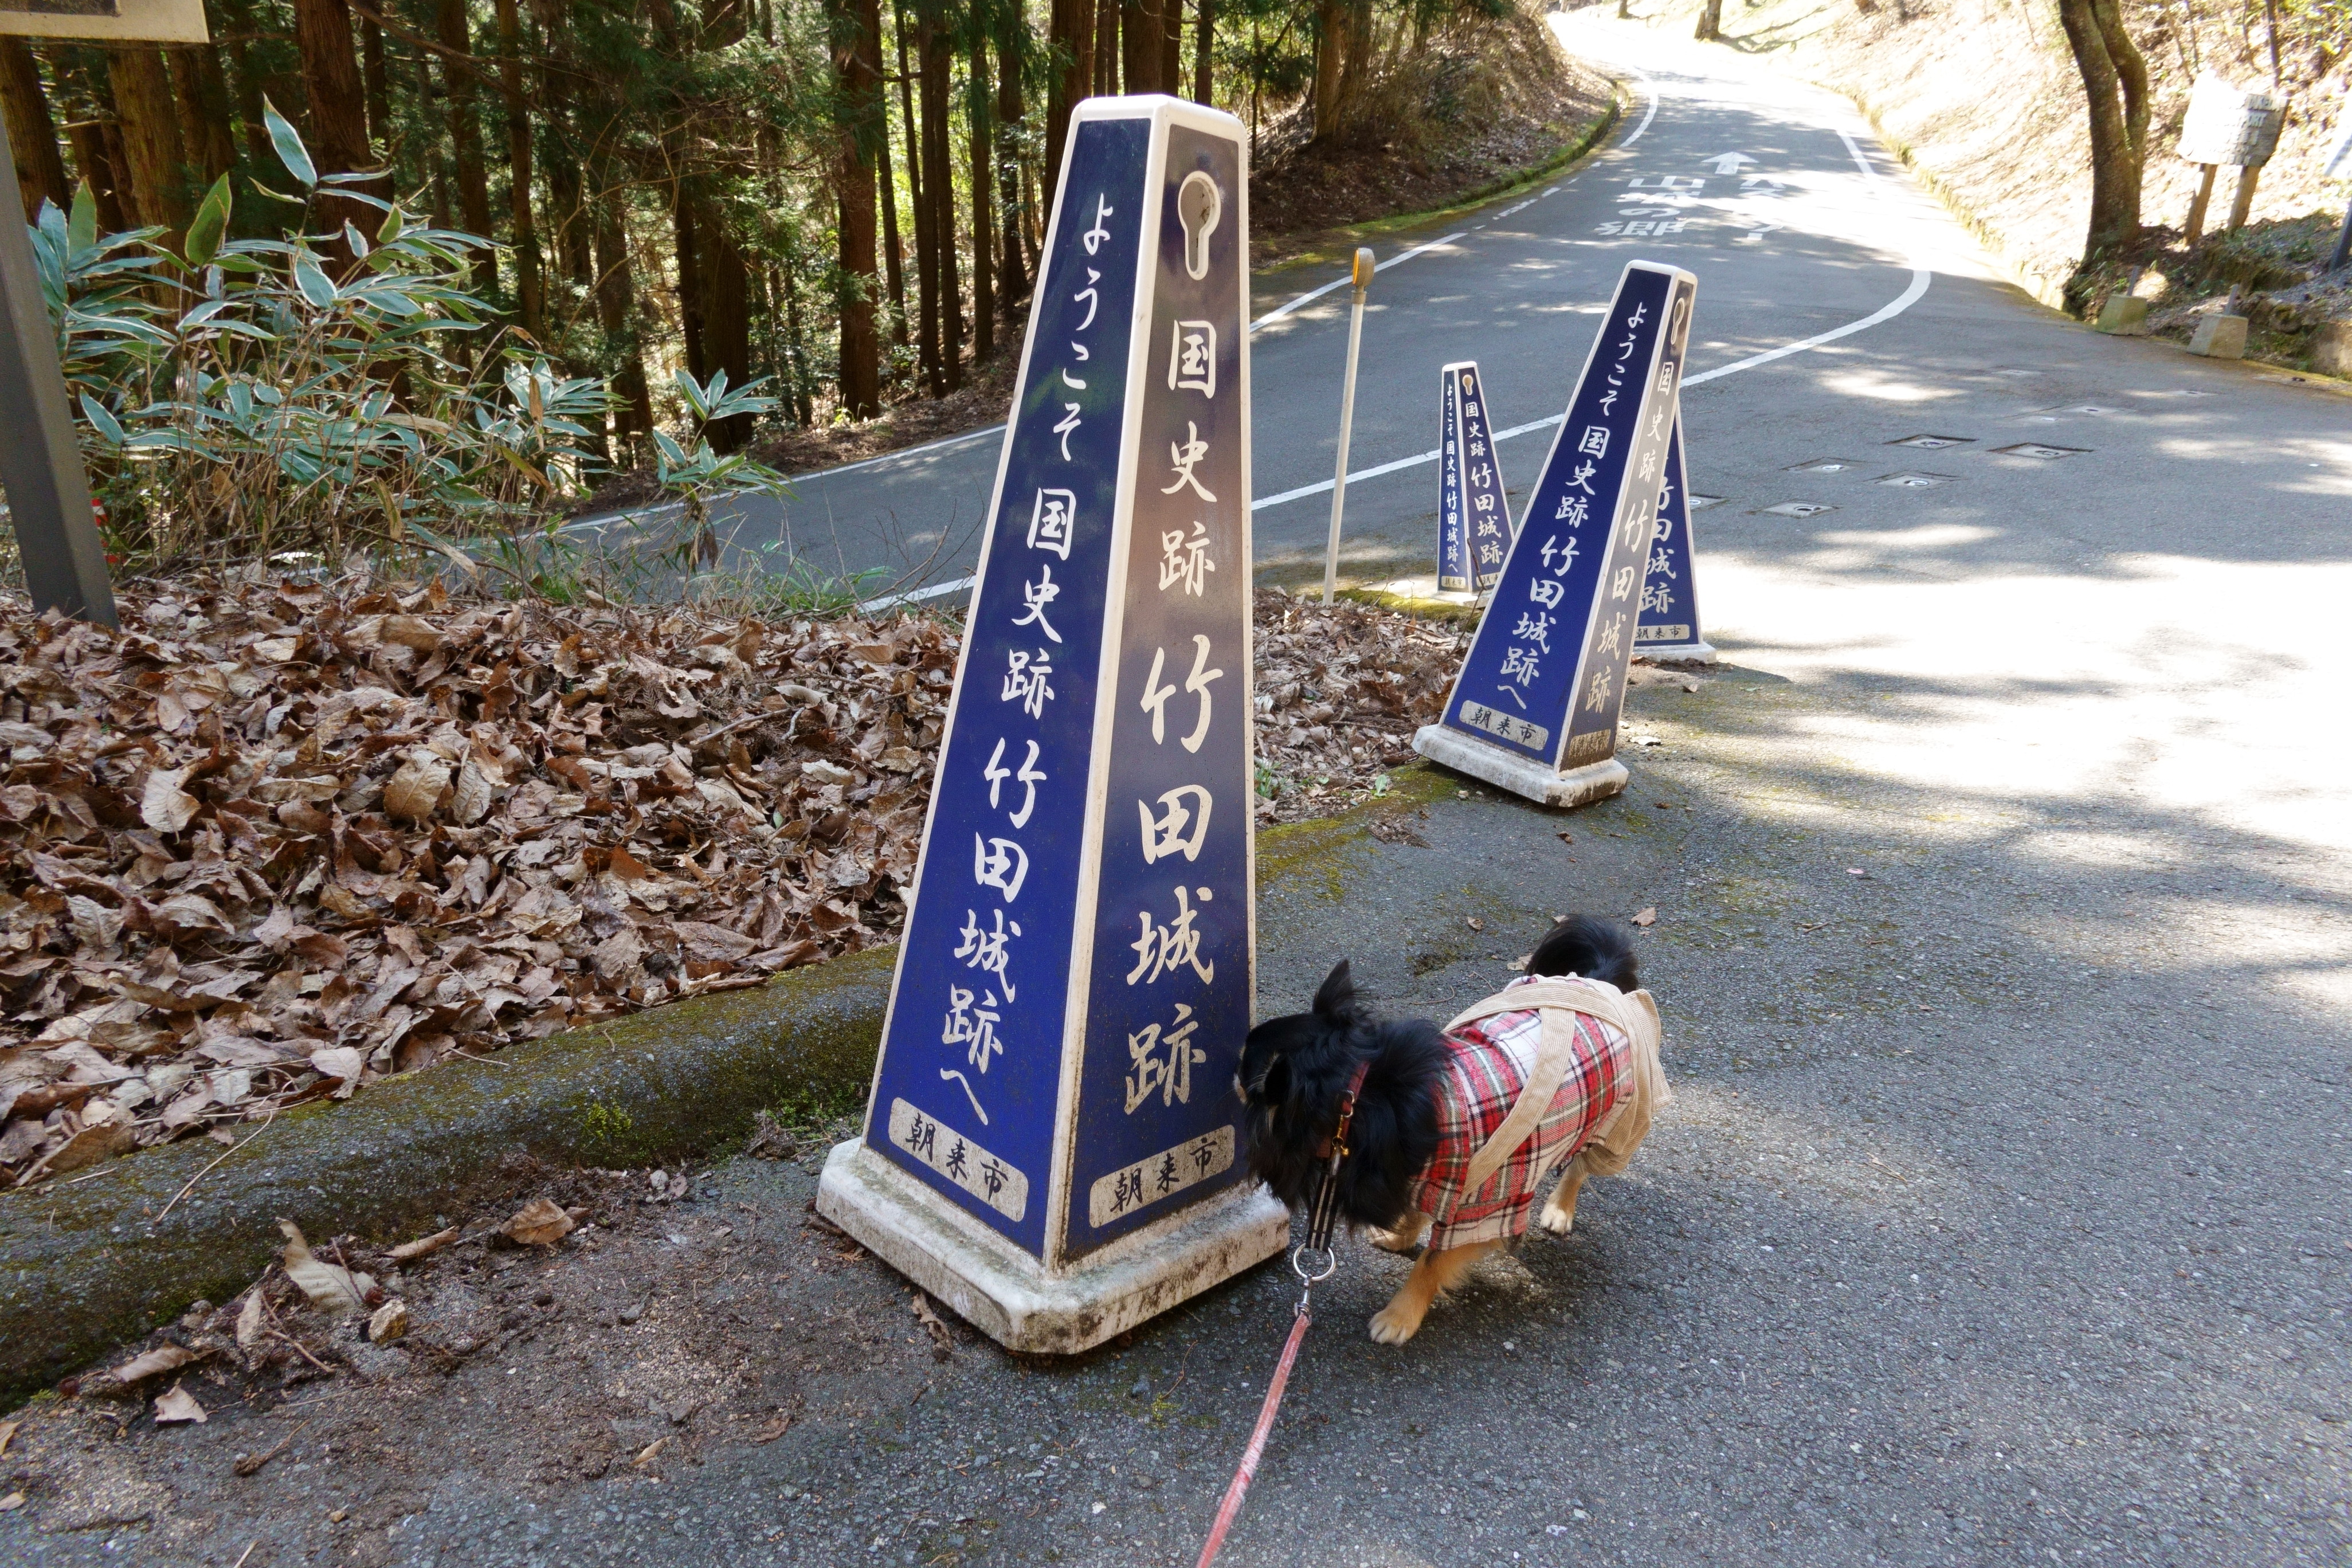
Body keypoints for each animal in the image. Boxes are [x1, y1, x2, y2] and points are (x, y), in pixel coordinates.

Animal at [1241, 921, 1646, 1354]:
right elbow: (1415, 1209)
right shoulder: (1424, 1173)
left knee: (1580, 1167)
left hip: (1615, 1120)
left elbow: (1431, 1261)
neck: (1360, 1099)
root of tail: (1595, 980)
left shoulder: (1482, 1210)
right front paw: (1400, 1236)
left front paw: (1400, 1315)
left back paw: (1560, 1210)